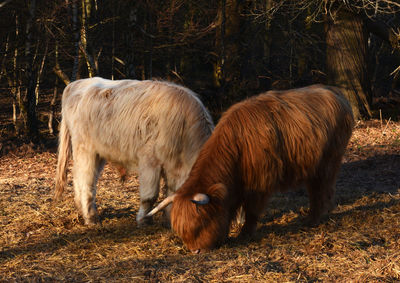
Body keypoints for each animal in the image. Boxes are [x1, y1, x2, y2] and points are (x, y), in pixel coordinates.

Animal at [148, 84, 354, 253]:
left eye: (200, 223)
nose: (195, 251)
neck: (237, 147)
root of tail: (335, 93)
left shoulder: (260, 183)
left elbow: (252, 211)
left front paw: (245, 234)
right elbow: (230, 209)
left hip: (328, 161)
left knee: (321, 188)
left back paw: (313, 220)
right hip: (313, 164)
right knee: (317, 189)